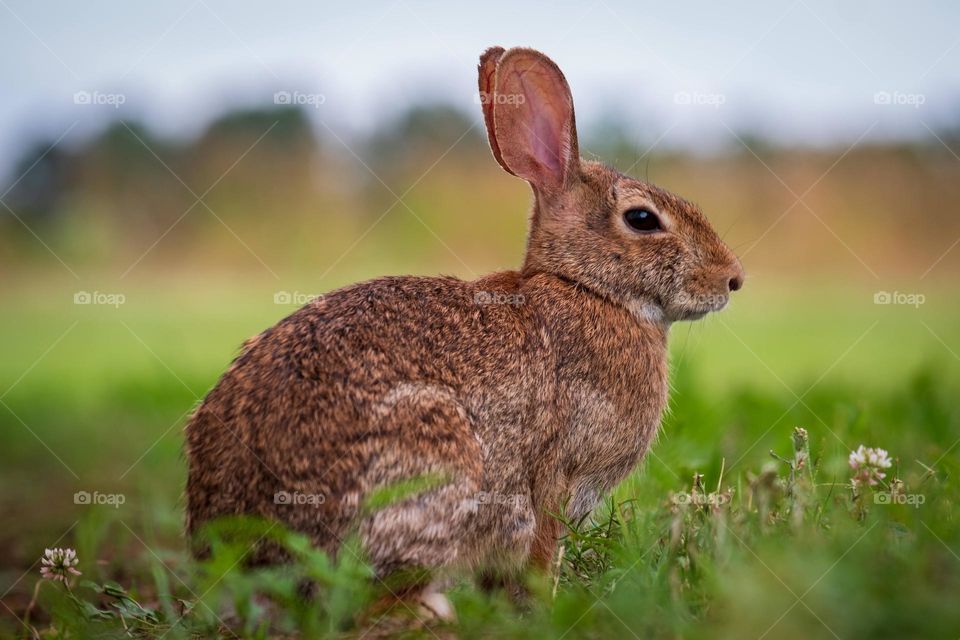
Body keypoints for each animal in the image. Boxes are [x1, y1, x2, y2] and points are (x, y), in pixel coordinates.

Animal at [186, 45, 744, 616]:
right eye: (642, 219)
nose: (732, 279)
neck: (589, 289)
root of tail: (249, 558)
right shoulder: (556, 475)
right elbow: (542, 548)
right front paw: (542, 608)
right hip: (431, 459)